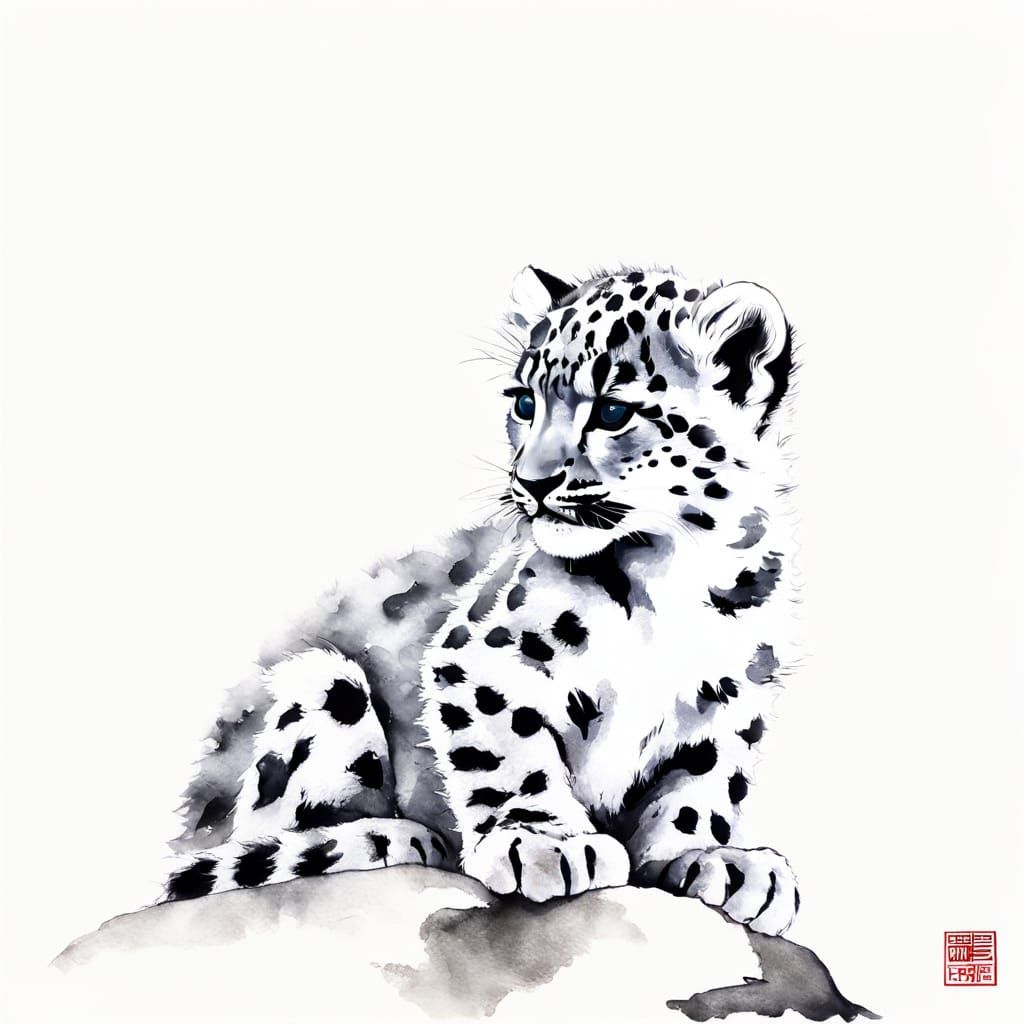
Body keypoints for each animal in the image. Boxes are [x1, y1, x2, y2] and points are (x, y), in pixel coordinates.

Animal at [162, 263, 801, 936]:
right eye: (524, 402)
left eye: (612, 410)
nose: (533, 482)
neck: (669, 566)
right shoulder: (482, 656)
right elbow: (508, 747)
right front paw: (546, 841)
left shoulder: (730, 691)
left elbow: (702, 781)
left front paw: (708, 858)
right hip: (323, 685)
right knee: (263, 839)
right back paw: (394, 836)